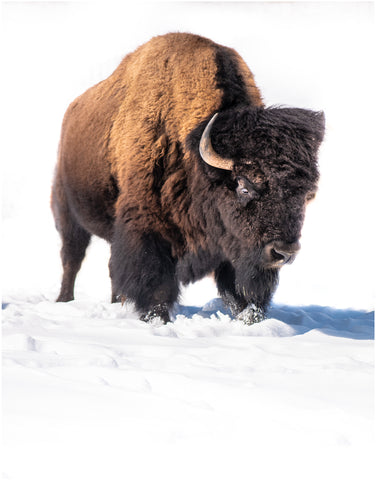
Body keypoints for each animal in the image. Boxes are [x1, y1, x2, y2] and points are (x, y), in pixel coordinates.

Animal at [51, 31, 324, 324]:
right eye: (244, 186)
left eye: (306, 195)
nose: (284, 252)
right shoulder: (146, 225)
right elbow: (155, 282)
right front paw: (157, 319)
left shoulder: (236, 249)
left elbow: (240, 290)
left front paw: (250, 319)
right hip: (68, 213)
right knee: (72, 258)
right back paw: (64, 300)